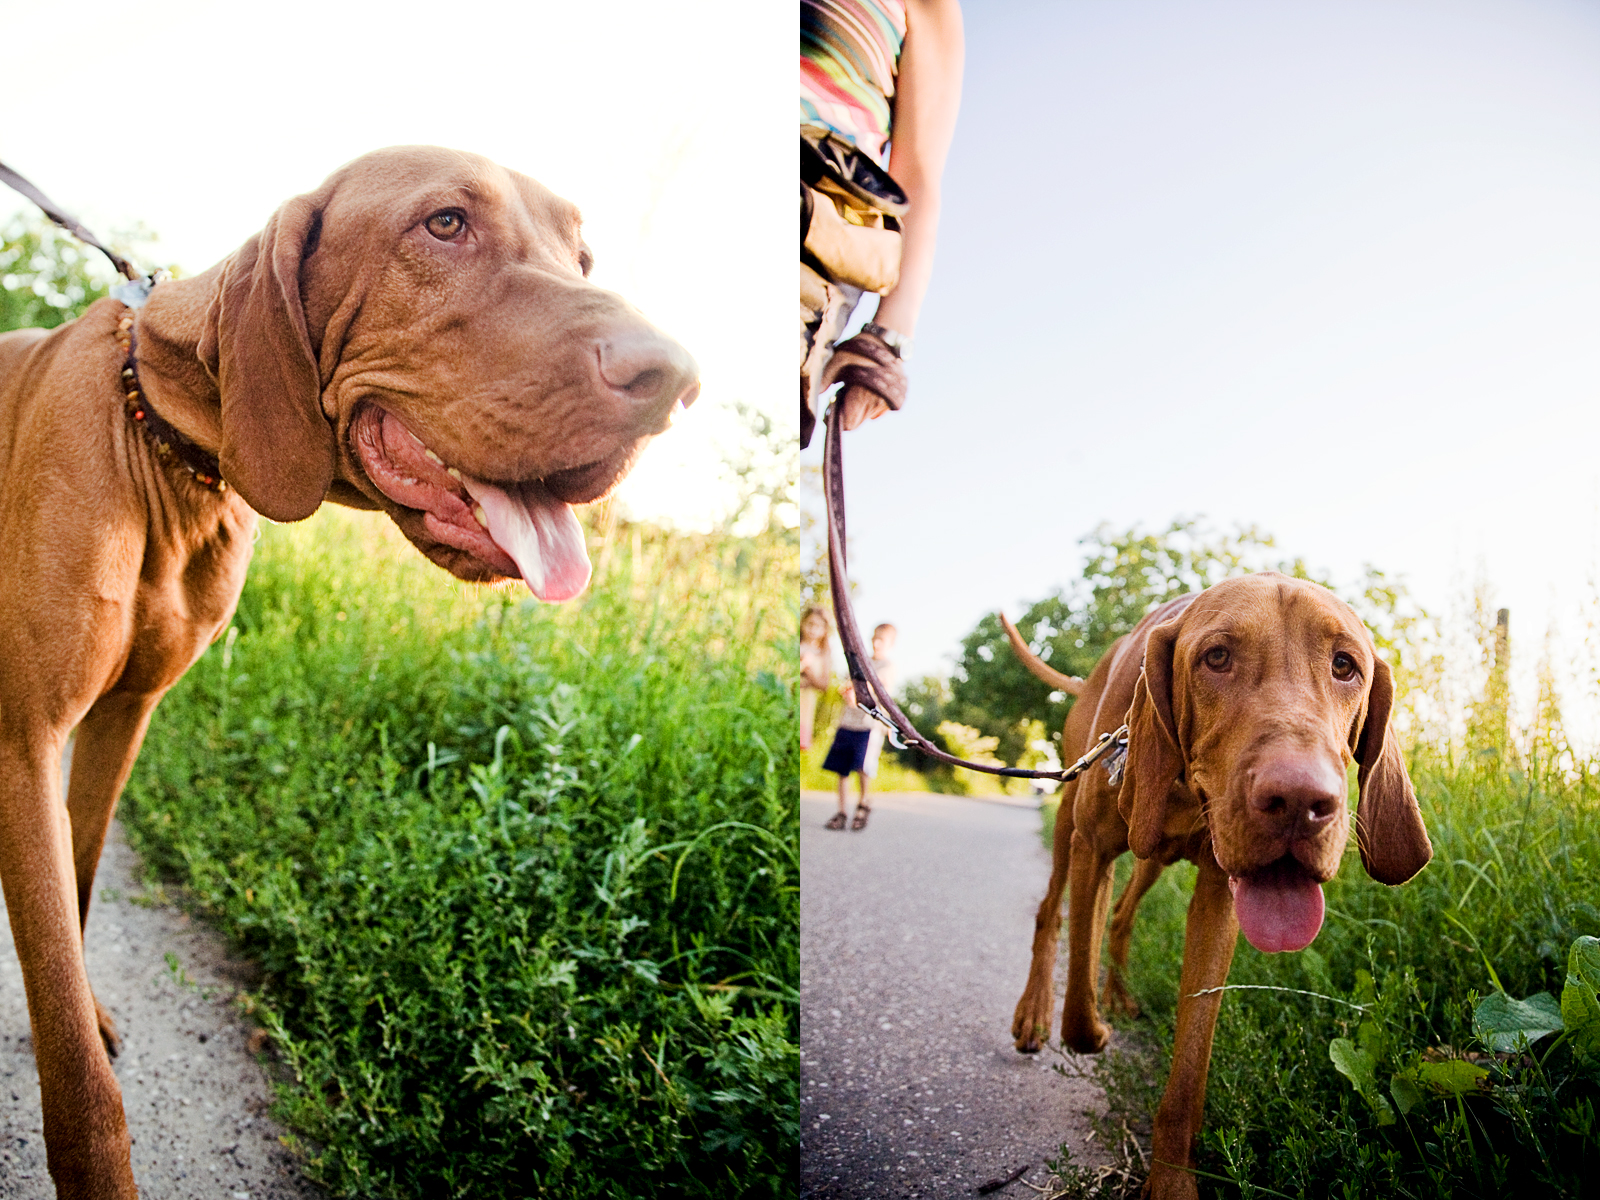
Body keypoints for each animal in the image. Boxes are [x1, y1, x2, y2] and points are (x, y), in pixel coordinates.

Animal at [0, 148, 700, 1200]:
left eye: (583, 255)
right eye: (444, 224)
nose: (676, 380)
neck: (164, 442)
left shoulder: (124, 715)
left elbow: (77, 902)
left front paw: (85, 1008)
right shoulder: (28, 736)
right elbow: (76, 1059)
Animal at [1004, 576, 1433, 1200]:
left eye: (1345, 665)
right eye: (1217, 657)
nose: (1300, 803)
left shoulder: (1218, 900)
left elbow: (1190, 1068)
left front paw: (1172, 1180)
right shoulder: (1093, 849)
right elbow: (1079, 1011)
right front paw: (1093, 1028)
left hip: (1151, 857)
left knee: (1122, 915)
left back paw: (1120, 995)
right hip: (1067, 824)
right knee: (1050, 913)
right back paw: (1035, 1013)